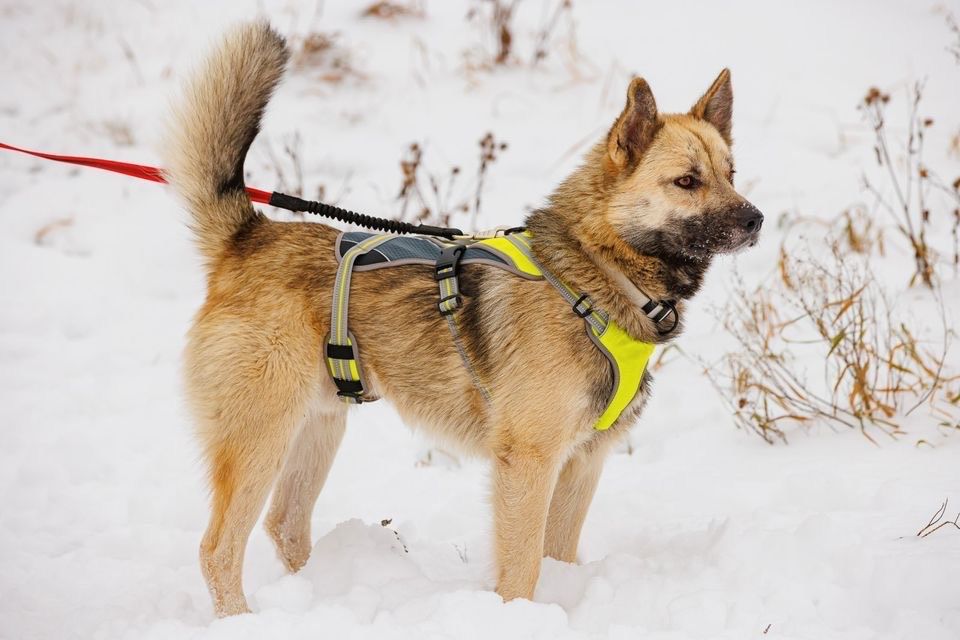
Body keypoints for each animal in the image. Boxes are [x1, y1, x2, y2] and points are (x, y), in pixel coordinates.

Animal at [165, 22, 764, 616]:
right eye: (686, 181)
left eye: (731, 174)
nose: (755, 219)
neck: (594, 274)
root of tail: (250, 235)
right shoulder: (528, 463)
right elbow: (523, 569)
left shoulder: (582, 463)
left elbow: (558, 557)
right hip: (260, 438)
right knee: (217, 549)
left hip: (317, 429)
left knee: (285, 525)